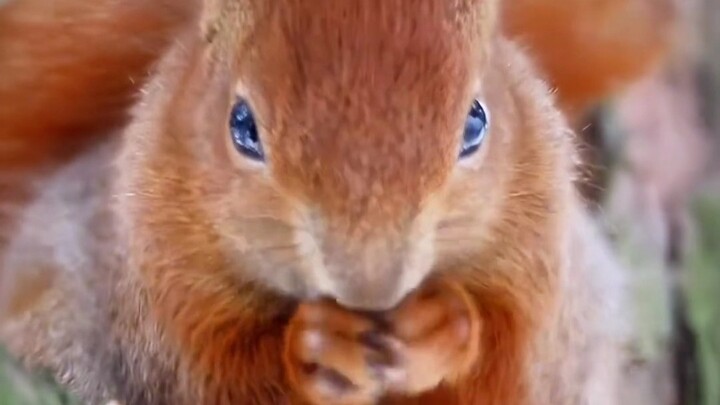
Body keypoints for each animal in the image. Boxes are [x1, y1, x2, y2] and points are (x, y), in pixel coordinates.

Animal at [1, 1, 626, 404]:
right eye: (242, 126)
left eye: (476, 122)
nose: (371, 286)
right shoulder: (152, 283)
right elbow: (212, 376)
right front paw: (315, 350)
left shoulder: (541, 260)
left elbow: (509, 360)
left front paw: (441, 326)